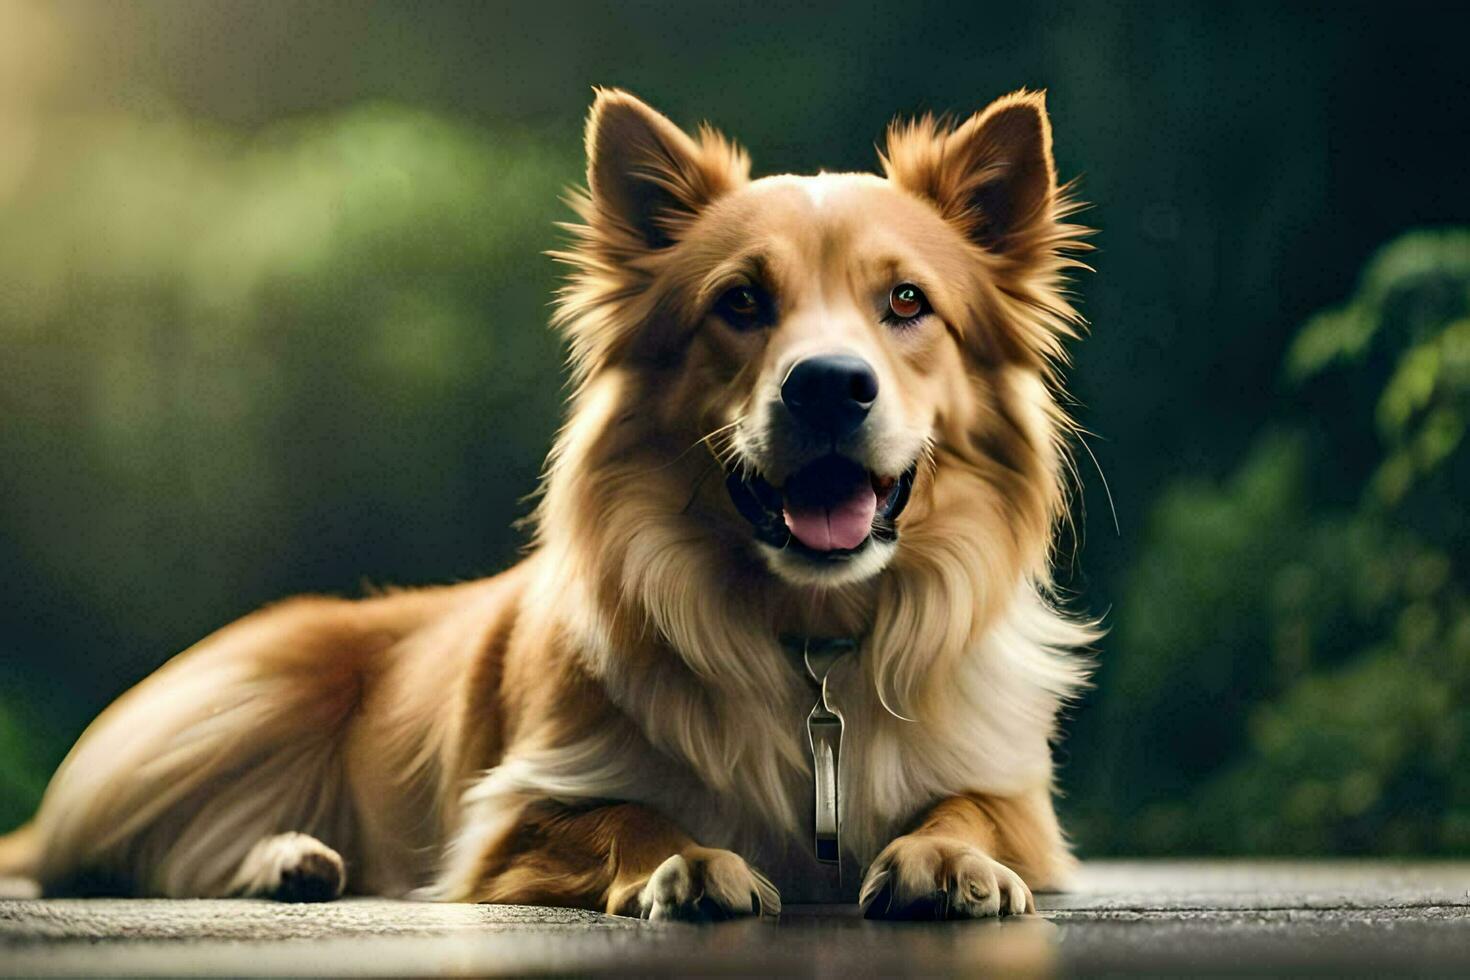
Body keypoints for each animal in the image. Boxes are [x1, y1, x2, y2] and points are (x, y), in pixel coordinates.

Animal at [0, 89, 1093, 922]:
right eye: (740, 302)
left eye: (907, 302)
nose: (828, 385)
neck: (808, 635)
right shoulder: (512, 813)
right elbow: (622, 814)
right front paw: (690, 862)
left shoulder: (1021, 801)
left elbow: (974, 808)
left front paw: (946, 856)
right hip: (246, 697)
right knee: (128, 859)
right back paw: (285, 858)